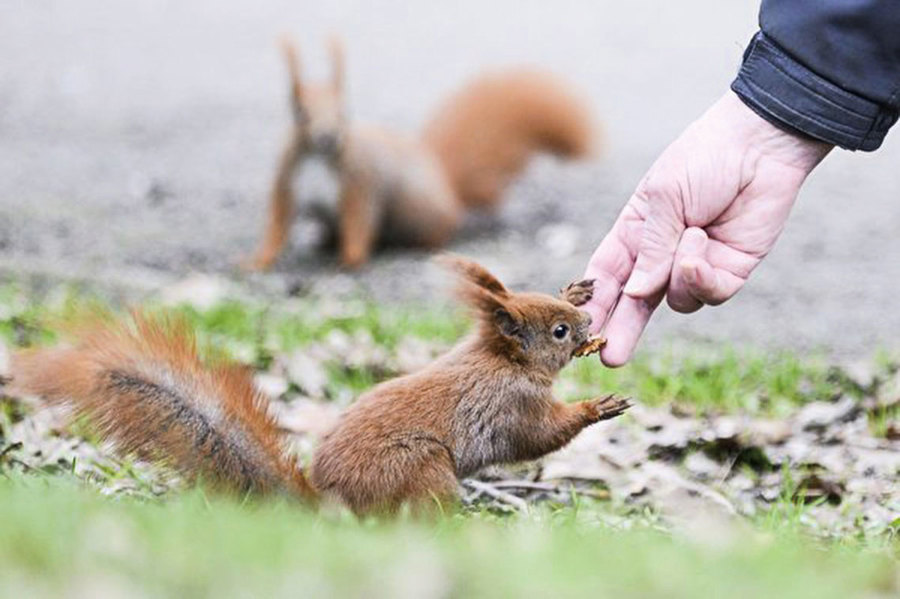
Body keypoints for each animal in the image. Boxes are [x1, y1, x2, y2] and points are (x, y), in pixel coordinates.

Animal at [8, 256, 624, 516]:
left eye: (559, 312)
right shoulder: (510, 405)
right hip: (421, 470)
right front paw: (597, 406)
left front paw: (576, 286)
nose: (586, 324)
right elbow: (538, 437)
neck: (499, 359)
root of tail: (330, 505)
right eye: (559, 332)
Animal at [246, 37, 596, 270]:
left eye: (345, 112)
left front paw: (350, 260)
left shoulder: (360, 182)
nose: (327, 137)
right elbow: (278, 224)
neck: (320, 158)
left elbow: (360, 222)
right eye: (300, 114)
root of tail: (444, 186)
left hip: (417, 212)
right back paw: (323, 241)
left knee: (439, 230)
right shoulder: (287, 181)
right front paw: (255, 261)